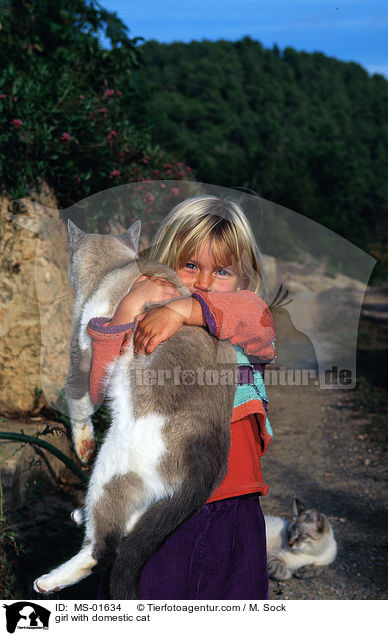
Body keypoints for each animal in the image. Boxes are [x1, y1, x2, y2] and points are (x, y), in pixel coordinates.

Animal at [32, 221, 236, 600]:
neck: (114, 268)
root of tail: (211, 456)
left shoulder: (81, 356)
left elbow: (78, 406)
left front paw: (81, 446)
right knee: (130, 523)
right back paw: (81, 515)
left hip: (111, 461)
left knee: (105, 548)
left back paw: (48, 581)